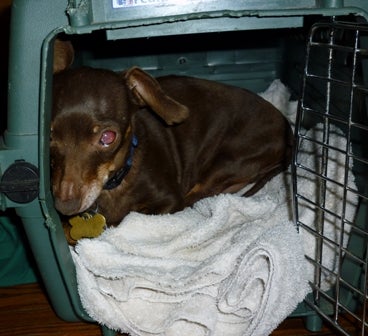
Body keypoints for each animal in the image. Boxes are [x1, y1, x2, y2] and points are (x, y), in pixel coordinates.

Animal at [51, 63, 294, 242]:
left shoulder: (168, 201)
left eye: (108, 137)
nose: (65, 206)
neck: (116, 182)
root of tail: (288, 126)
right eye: (49, 136)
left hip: (229, 160)